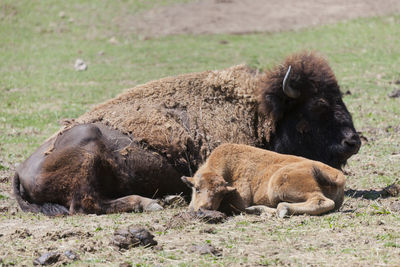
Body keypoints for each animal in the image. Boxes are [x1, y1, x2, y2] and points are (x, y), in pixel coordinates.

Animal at [183, 144, 346, 218]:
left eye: (221, 194)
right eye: (197, 188)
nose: (206, 208)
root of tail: (337, 174)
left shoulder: (240, 200)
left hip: (277, 185)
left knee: (320, 201)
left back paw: (282, 209)